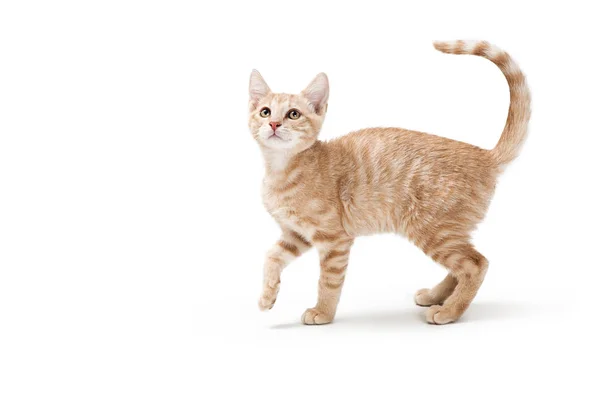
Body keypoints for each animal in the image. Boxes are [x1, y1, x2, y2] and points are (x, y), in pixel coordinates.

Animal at [248, 39, 528, 324]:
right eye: (264, 112)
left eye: (293, 114)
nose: (273, 123)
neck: (281, 170)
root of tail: (485, 155)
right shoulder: (295, 235)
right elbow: (271, 257)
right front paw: (267, 296)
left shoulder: (334, 239)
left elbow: (328, 282)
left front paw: (323, 312)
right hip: (449, 231)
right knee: (461, 265)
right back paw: (436, 296)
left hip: (432, 229)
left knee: (475, 264)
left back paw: (449, 310)